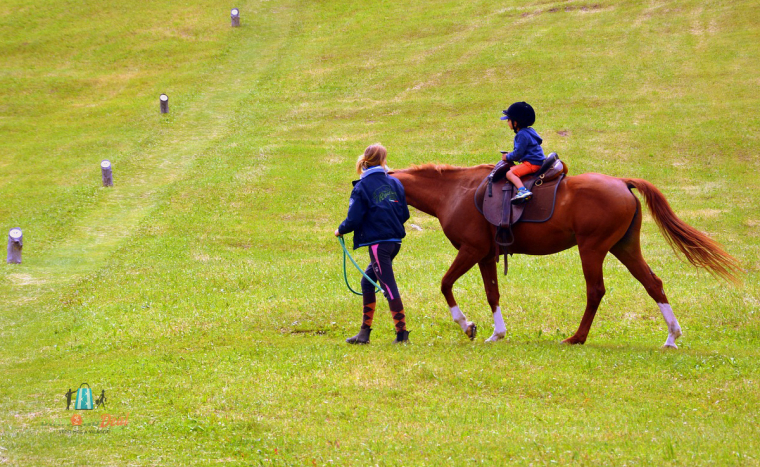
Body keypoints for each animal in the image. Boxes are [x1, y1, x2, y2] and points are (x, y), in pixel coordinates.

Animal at [394, 165, 740, 348]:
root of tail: (621, 182)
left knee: (595, 291)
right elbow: (492, 293)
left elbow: (445, 284)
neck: (456, 191)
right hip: (624, 248)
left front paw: (467, 325)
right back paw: (671, 336)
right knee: (653, 283)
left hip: (593, 249)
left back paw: (577, 337)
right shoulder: (486, 256)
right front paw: (497, 333)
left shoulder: (471, 250)